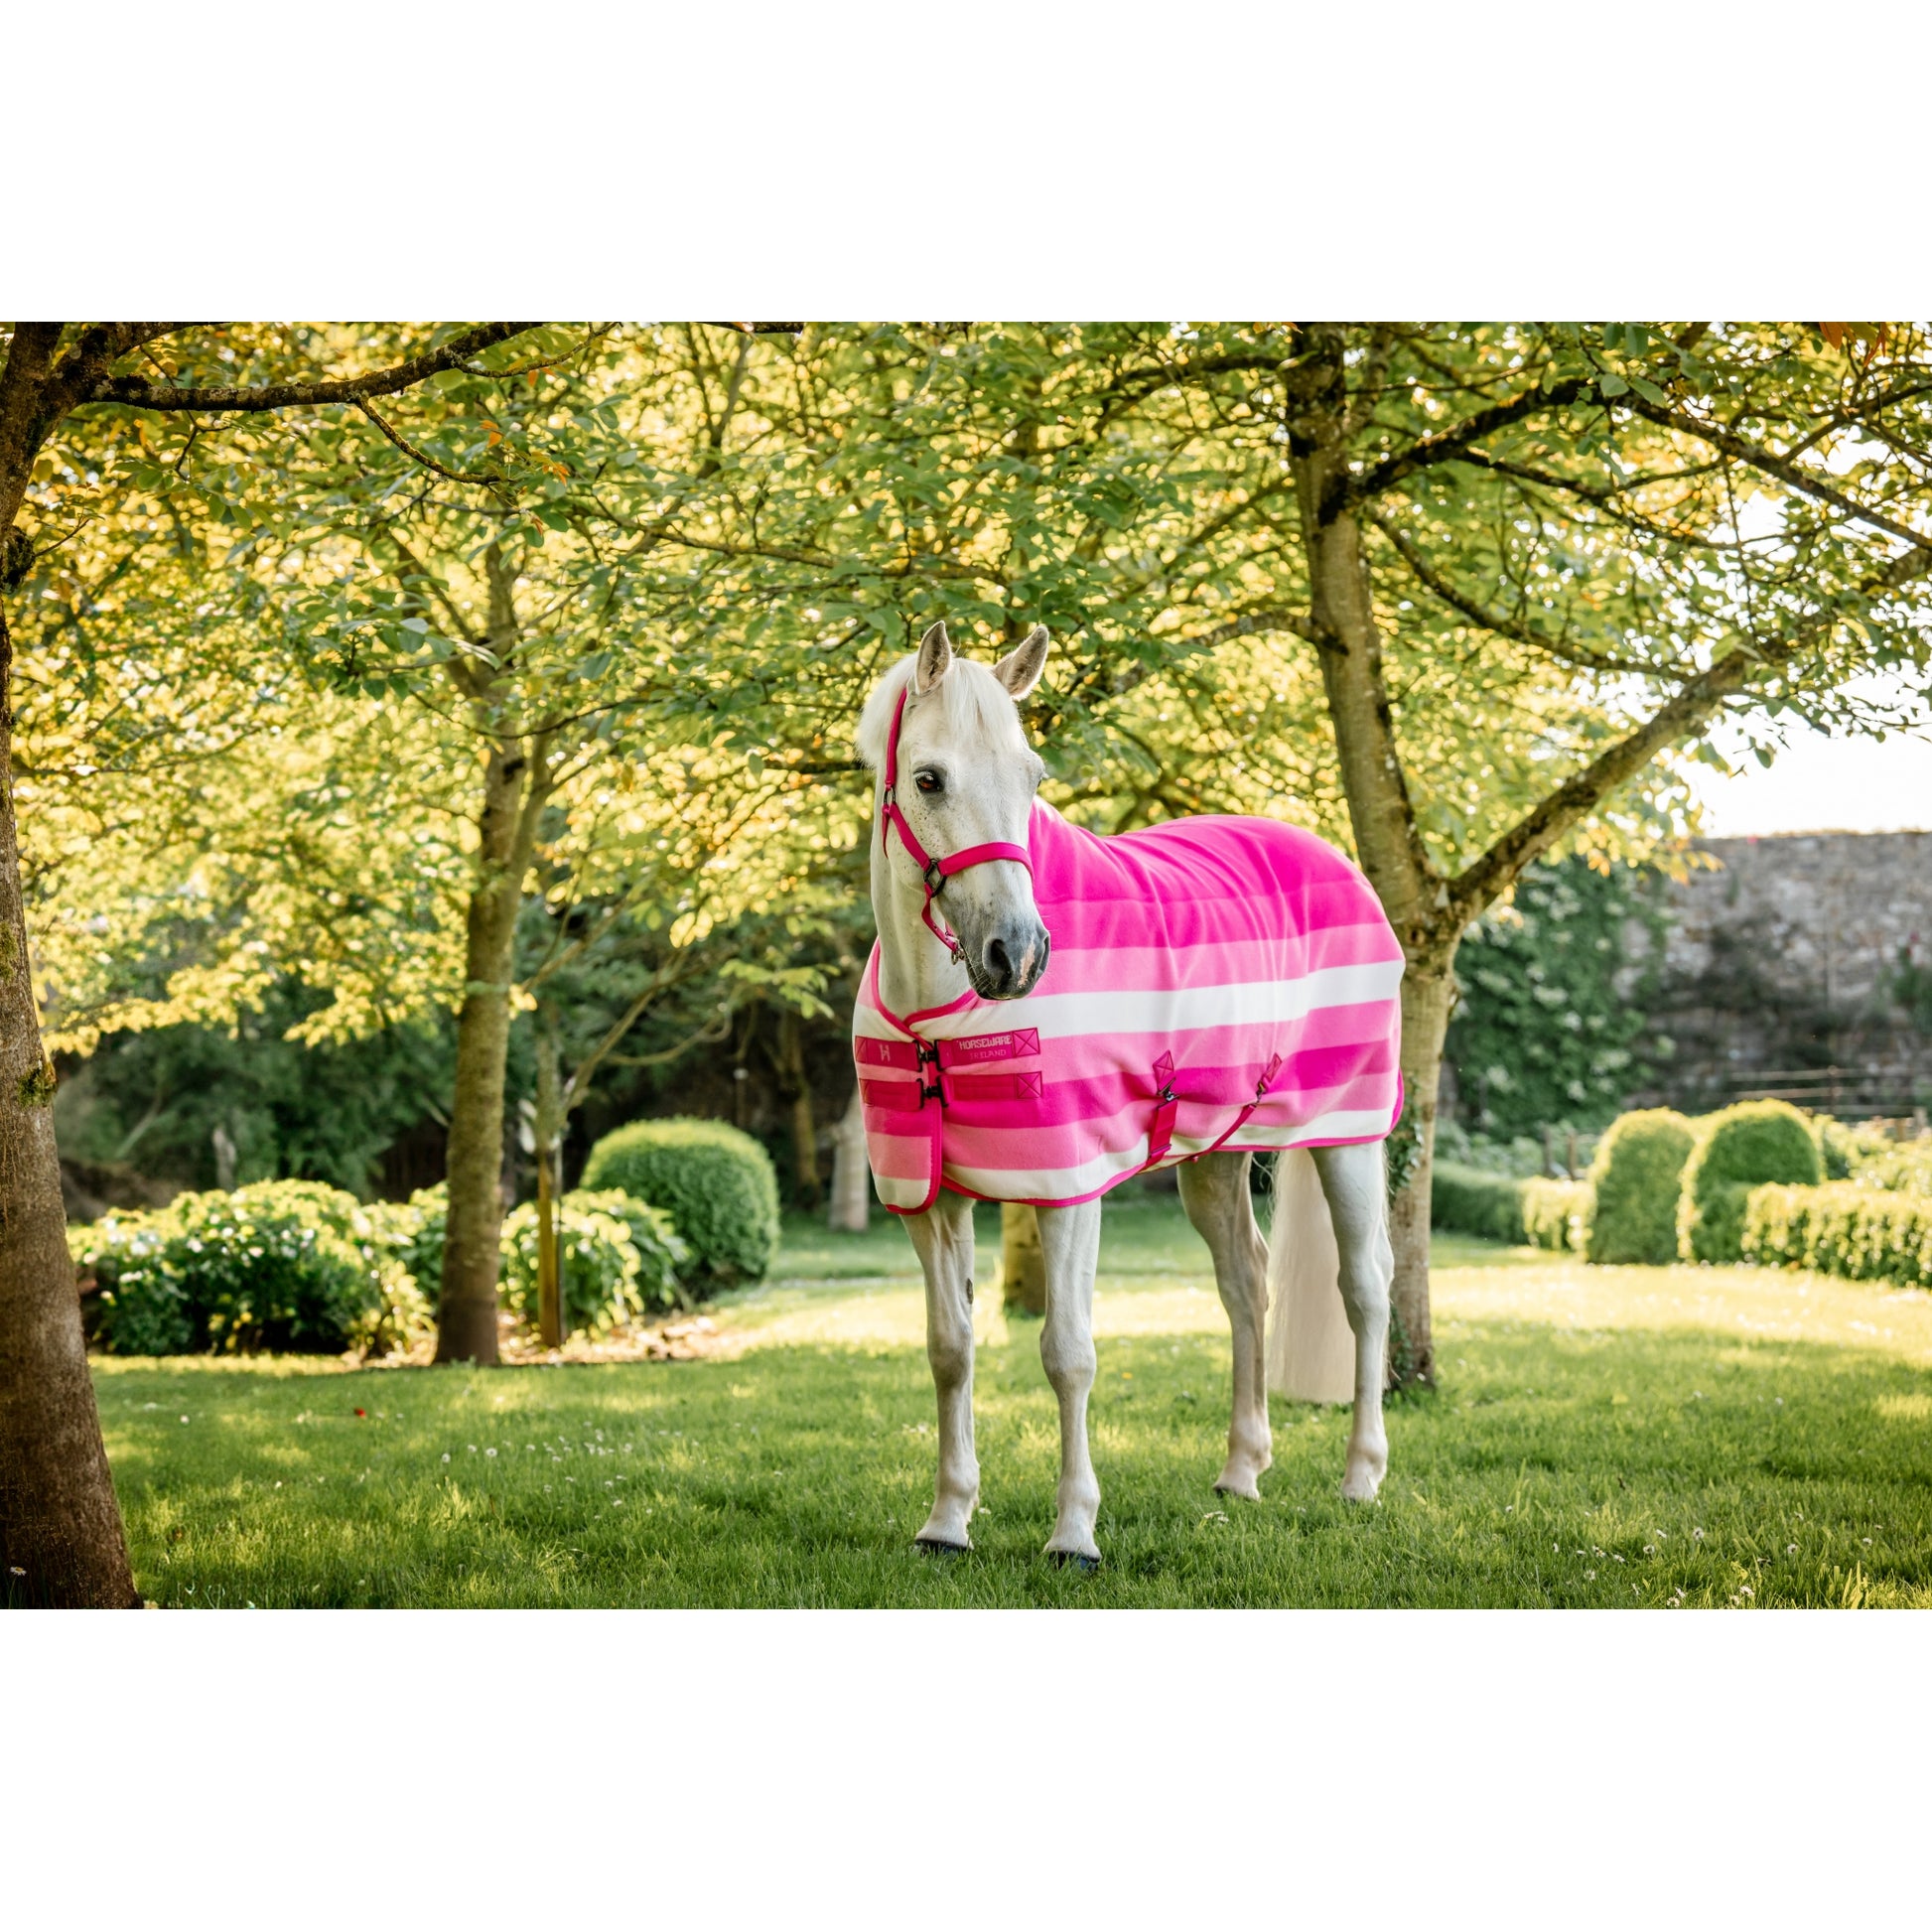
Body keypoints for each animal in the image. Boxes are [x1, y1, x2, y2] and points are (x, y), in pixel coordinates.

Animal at [852, 621, 1402, 1568]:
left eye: (1033, 776)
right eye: (928, 779)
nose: (1017, 954)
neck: (938, 1017)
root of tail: (1335, 857)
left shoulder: (1068, 1188)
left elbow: (1067, 1353)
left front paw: (1074, 1532)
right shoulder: (930, 1199)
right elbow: (950, 1350)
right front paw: (948, 1521)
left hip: (1350, 1137)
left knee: (1365, 1286)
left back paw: (1362, 1476)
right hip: (1215, 1158)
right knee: (1246, 1284)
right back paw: (1241, 1471)